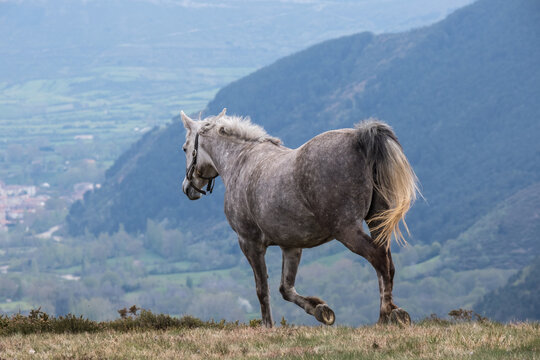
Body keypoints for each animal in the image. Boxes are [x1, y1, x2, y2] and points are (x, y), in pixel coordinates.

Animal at [179, 109, 420, 326]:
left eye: (185, 148)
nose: (188, 188)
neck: (241, 162)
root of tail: (359, 139)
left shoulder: (249, 243)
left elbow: (262, 290)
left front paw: (268, 326)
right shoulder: (291, 246)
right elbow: (285, 288)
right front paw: (321, 310)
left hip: (347, 230)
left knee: (378, 257)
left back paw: (383, 316)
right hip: (376, 220)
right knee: (387, 264)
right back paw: (394, 312)